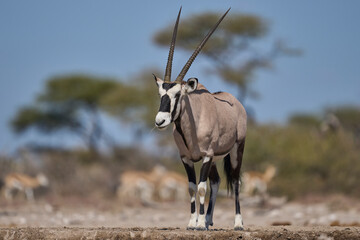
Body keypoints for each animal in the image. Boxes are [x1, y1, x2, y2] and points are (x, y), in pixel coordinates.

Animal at [153, 7, 246, 230]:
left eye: (178, 94)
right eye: (161, 94)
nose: (160, 121)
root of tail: (236, 102)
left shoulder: (206, 155)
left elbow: (202, 188)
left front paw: (199, 223)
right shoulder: (186, 158)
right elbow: (191, 187)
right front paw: (192, 222)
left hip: (236, 150)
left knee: (235, 182)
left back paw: (237, 223)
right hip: (215, 159)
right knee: (217, 180)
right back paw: (210, 219)